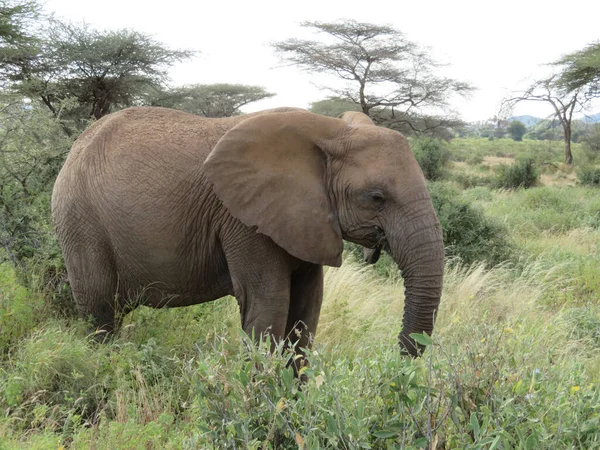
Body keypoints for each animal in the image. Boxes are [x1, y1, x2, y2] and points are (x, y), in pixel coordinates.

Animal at [51, 105, 442, 356]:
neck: (330, 132)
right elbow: (268, 306)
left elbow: (306, 310)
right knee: (100, 313)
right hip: (80, 221)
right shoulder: (244, 220)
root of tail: (73, 149)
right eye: (376, 197)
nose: (400, 353)